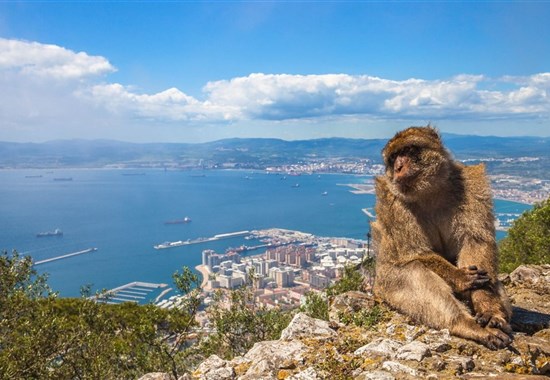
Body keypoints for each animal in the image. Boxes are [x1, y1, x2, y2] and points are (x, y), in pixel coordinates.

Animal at [374, 125, 516, 350]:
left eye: (408, 150)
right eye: (394, 157)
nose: (398, 167)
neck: (428, 191)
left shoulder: (472, 183)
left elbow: (475, 242)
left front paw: (488, 308)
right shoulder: (392, 200)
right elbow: (415, 252)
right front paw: (460, 278)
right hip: (386, 285)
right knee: (415, 272)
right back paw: (466, 325)